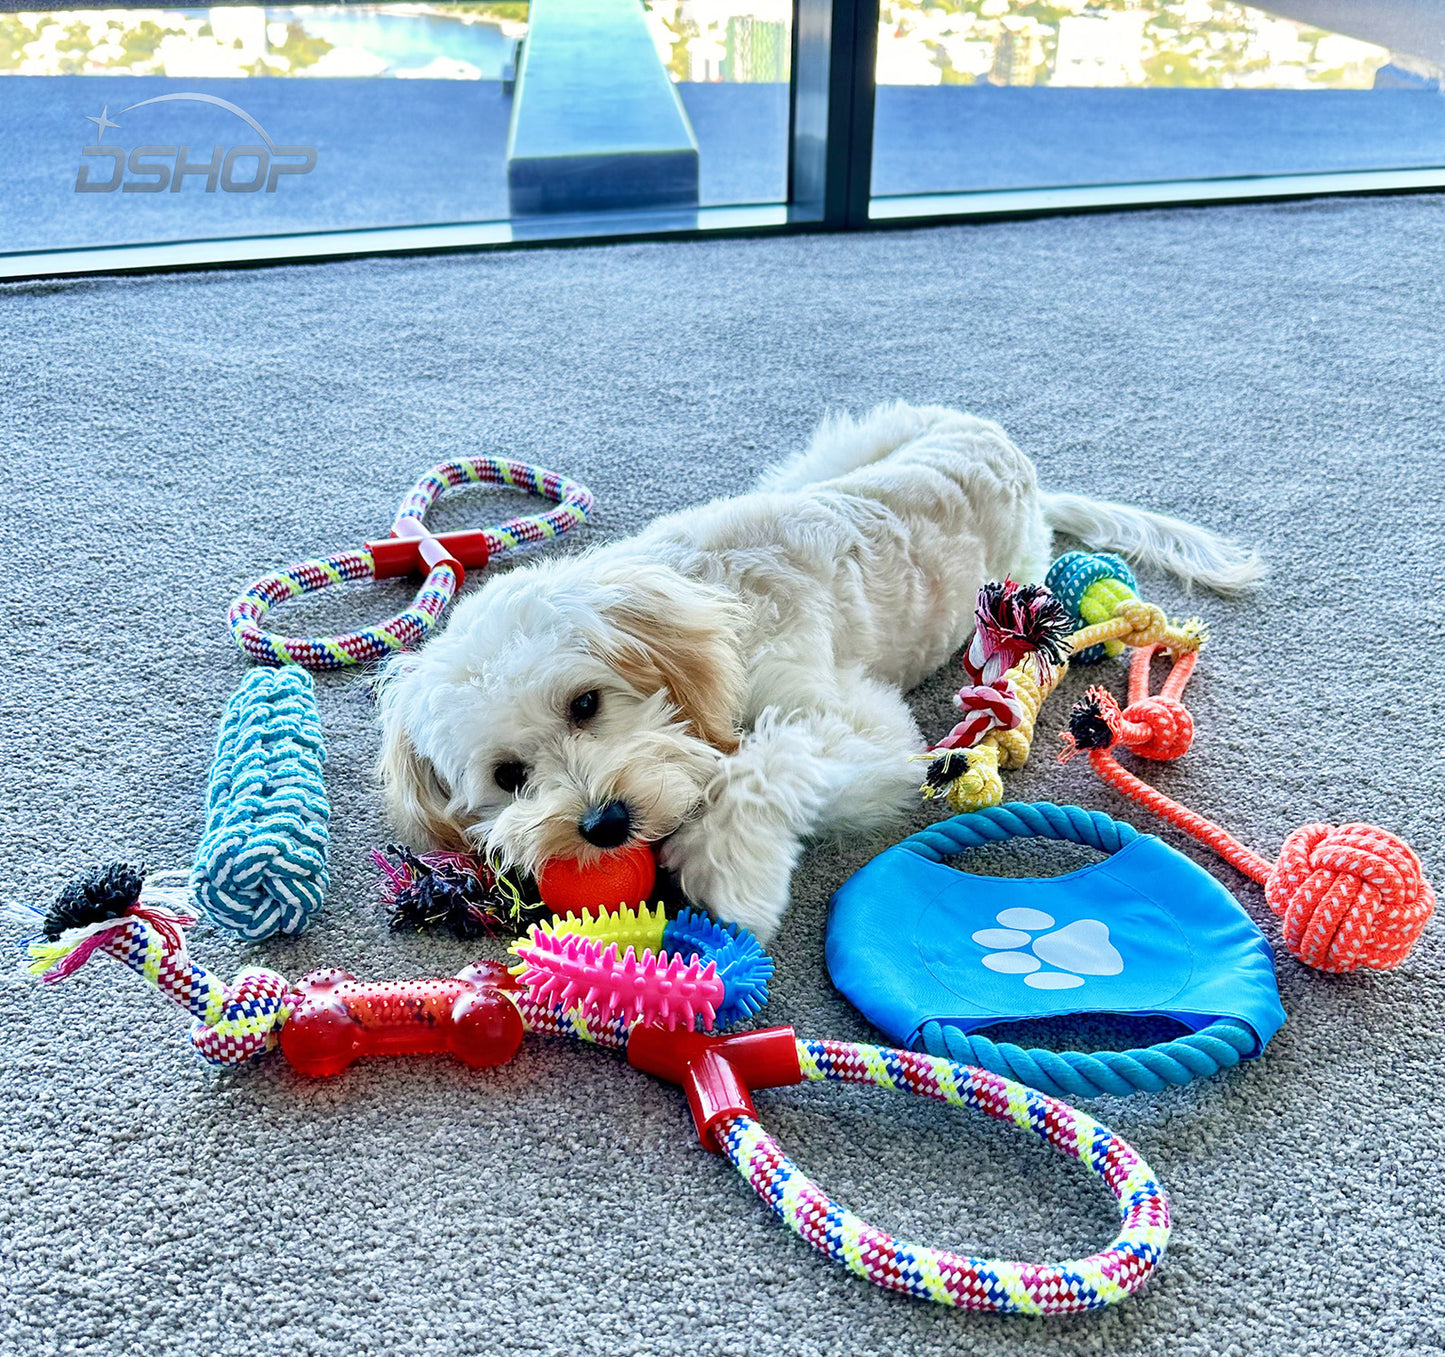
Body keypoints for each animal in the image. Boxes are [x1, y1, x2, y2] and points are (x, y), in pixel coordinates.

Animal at [378, 398, 1260, 936]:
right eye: (508, 774)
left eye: (586, 703)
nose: (603, 824)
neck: (705, 598)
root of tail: (1010, 454)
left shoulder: (865, 726)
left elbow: (763, 762)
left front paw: (731, 870)